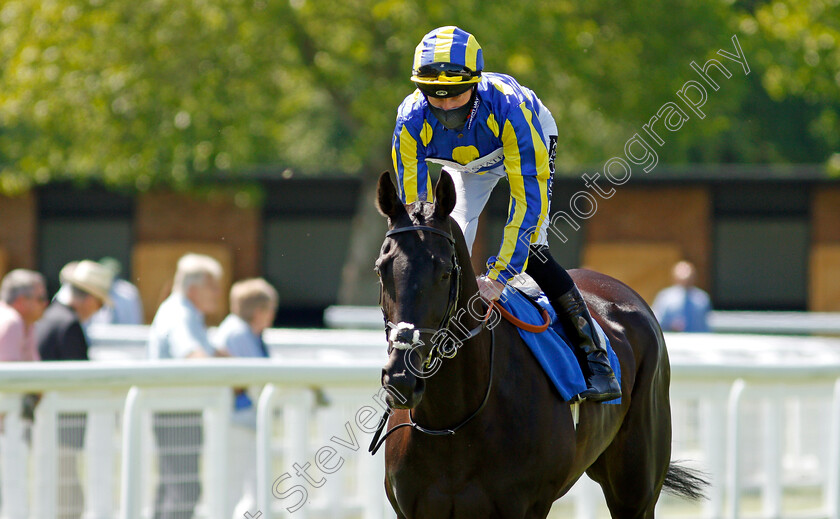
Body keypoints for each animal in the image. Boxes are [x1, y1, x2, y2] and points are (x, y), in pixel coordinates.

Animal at [372, 172, 704, 519]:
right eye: (381, 269)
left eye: (446, 272)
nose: (401, 378)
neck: (450, 421)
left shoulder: (527, 506)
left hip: (635, 486)